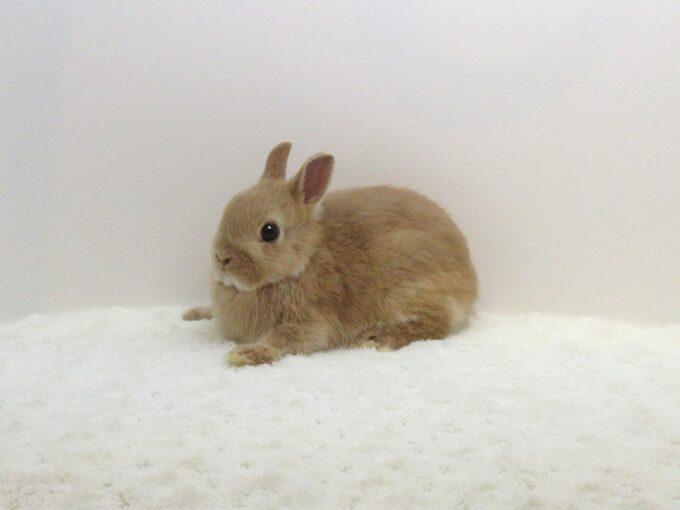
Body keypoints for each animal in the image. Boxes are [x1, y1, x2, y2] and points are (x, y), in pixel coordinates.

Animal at [183, 142, 478, 366]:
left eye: (269, 231)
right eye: (228, 208)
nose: (222, 258)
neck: (304, 260)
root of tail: (471, 283)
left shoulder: (309, 322)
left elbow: (283, 339)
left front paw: (244, 354)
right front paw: (193, 313)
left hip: (409, 286)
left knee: (437, 323)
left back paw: (377, 338)